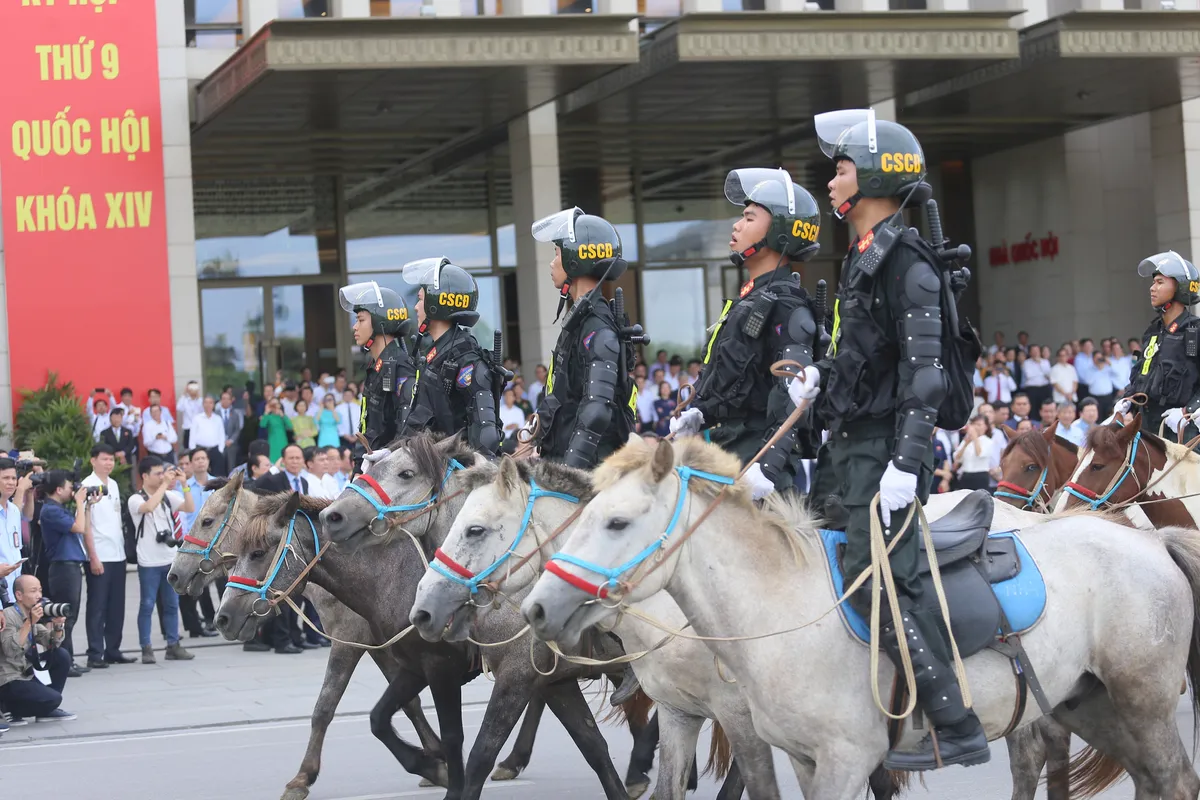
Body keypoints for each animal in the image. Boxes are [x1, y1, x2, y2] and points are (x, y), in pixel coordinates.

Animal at [403, 455, 777, 800]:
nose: (422, 610)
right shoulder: (555, 682)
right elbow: (592, 744)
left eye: (475, 530)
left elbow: (481, 753)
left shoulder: (516, 675)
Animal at [525, 438, 1200, 800]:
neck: (781, 608)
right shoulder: (800, 757)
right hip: (1090, 704)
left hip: (1143, 703)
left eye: (617, 522)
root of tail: (1147, 540)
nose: (536, 606)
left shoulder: (845, 759)